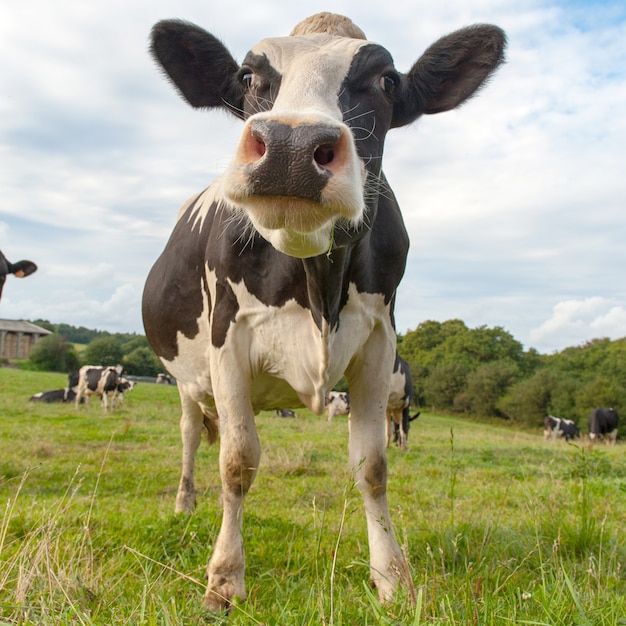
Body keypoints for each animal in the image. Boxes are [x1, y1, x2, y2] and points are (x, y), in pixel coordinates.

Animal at [141, 9, 502, 608]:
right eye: (248, 77)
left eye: (386, 81)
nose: (291, 144)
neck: (317, 285)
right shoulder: (227, 336)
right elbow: (237, 461)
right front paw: (225, 578)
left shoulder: (379, 342)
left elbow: (372, 465)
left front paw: (391, 575)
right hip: (189, 378)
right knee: (193, 435)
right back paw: (185, 502)